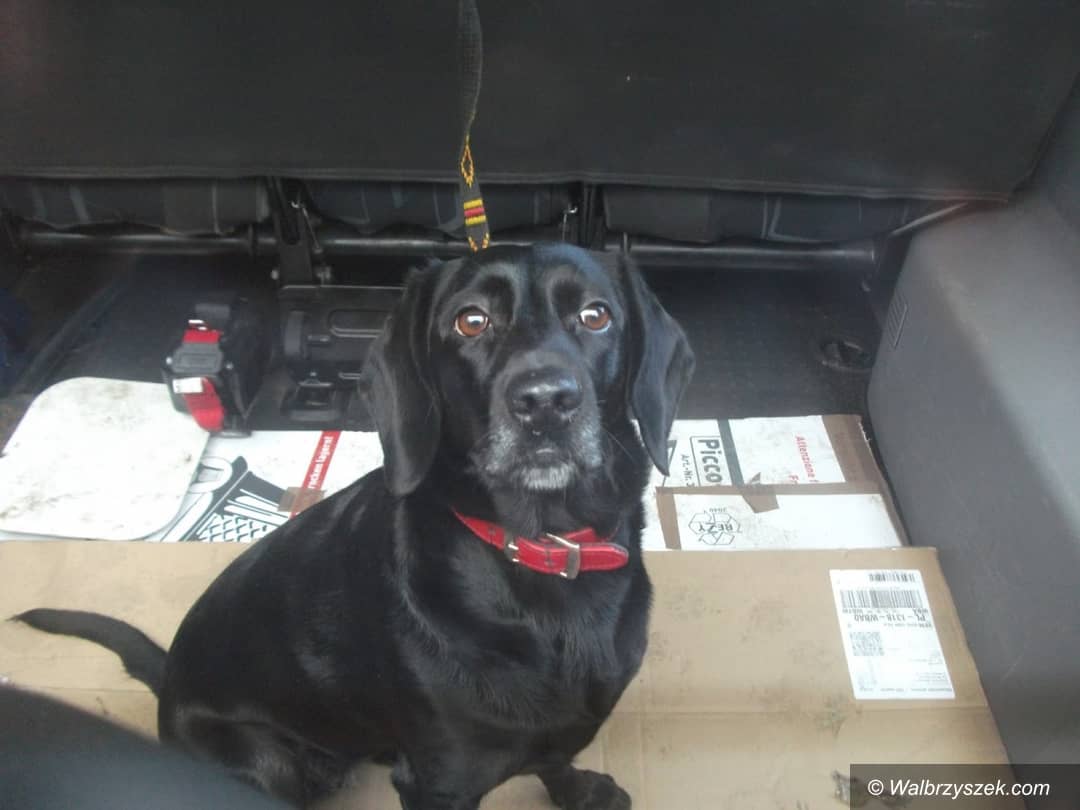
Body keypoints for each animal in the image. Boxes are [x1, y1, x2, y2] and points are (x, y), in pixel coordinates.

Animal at [15, 243, 694, 810]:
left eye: (596, 315)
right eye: (470, 321)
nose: (546, 401)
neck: (544, 551)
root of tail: (168, 687)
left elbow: (555, 756)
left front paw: (579, 791)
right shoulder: (439, 782)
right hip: (267, 760)